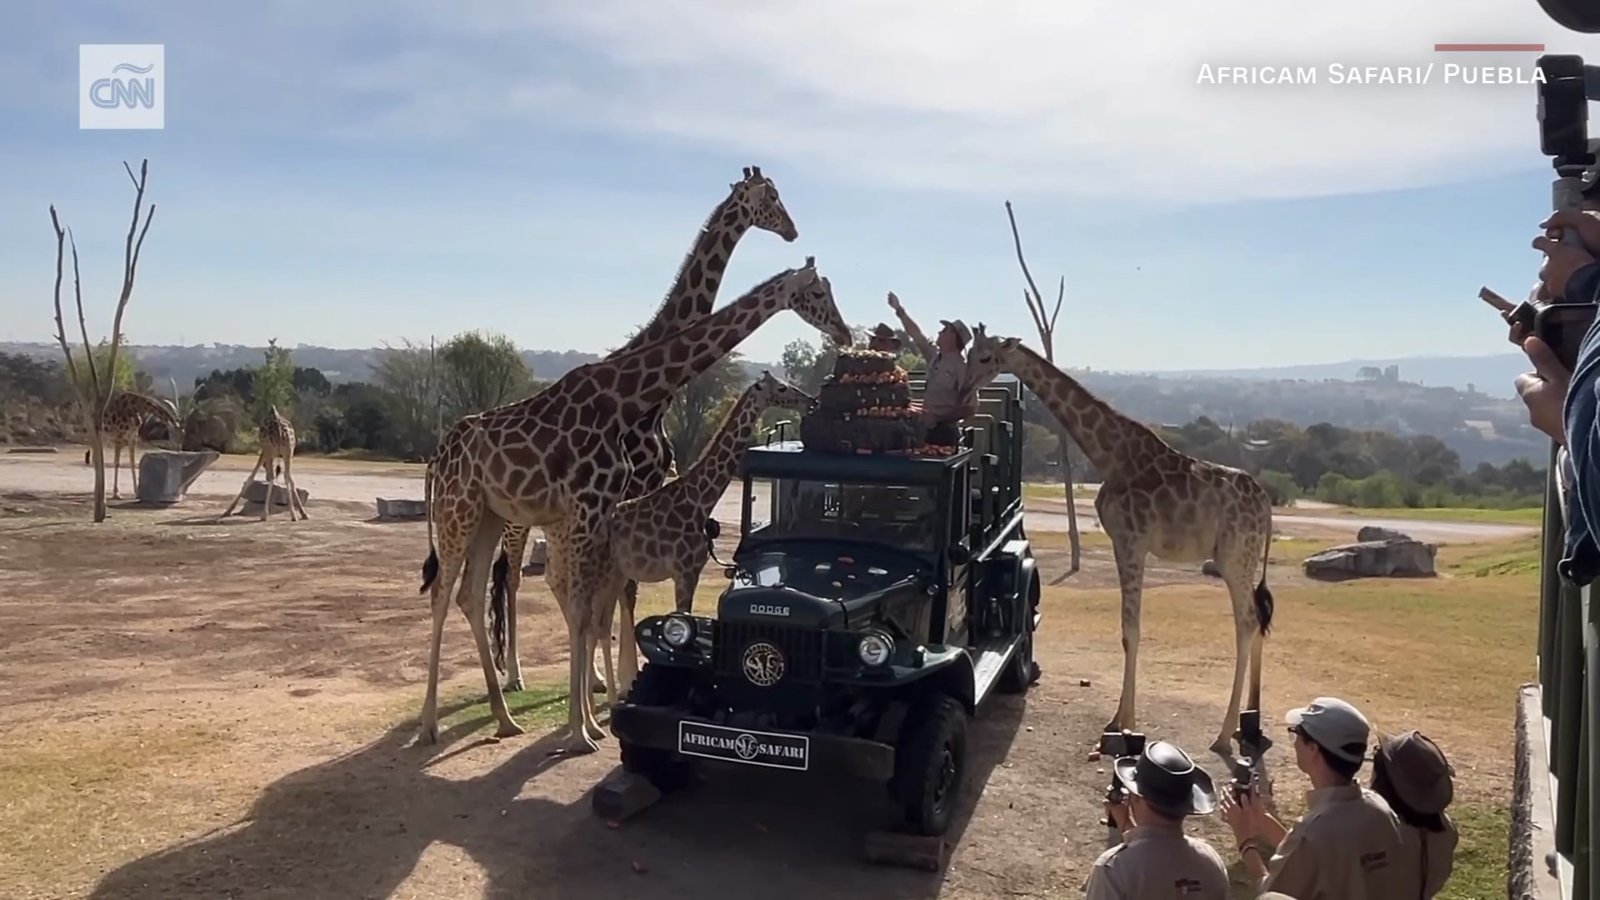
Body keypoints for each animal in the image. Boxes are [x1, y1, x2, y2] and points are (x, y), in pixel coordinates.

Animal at [483, 369, 812, 701]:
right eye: (782, 388)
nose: (809, 400)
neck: (699, 498)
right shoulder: (685, 571)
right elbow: (681, 619)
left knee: (584, 612)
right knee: (534, 587)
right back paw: (524, 678)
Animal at [489, 164, 796, 688]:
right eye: (770, 198)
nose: (793, 231)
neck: (653, 401)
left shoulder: (643, 486)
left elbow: (625, 588)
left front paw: (617, 673)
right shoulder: (625, 491)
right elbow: (623, 588)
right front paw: (624, 673)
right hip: (516, 519)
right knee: (510, 574)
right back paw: (513, 676)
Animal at [960, 323, 1273, 755]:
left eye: (987, 357)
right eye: (969, 353)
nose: (963, 389)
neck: (1109, 455)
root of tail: (1267, 504)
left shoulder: (1131, 541)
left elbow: (1131, 632)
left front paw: (1124, 727)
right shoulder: (1120, 542)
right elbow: (1127, 631)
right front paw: (1119, 722)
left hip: (1234, 558)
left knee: (1246, 623)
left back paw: (1224, 734)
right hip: (1244, 560)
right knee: (1257, 621)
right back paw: (1249, 724)